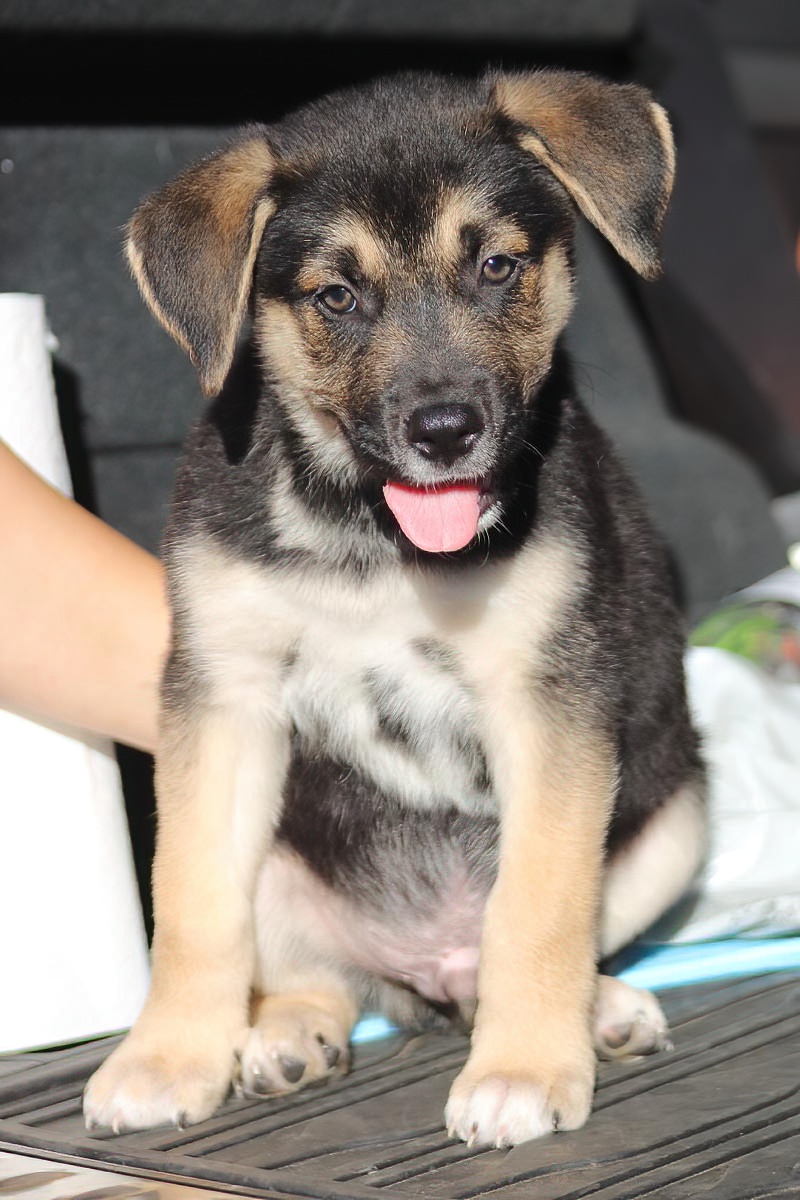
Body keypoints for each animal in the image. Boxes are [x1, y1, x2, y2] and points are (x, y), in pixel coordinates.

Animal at [84, 68, 706, 1148]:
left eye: (497, 267)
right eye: (336, 297)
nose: (446, 432)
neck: (369, 537)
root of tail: (430, 973)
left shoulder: (546, 703)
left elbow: (539, 906)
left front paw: (524, 1068)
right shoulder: (221, 699)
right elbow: (193, 900)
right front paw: (166, 1058)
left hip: (676, 819)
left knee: (531, 940)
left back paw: (599, 1011)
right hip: (287, 862)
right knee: (316, 976)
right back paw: (285, 1035)